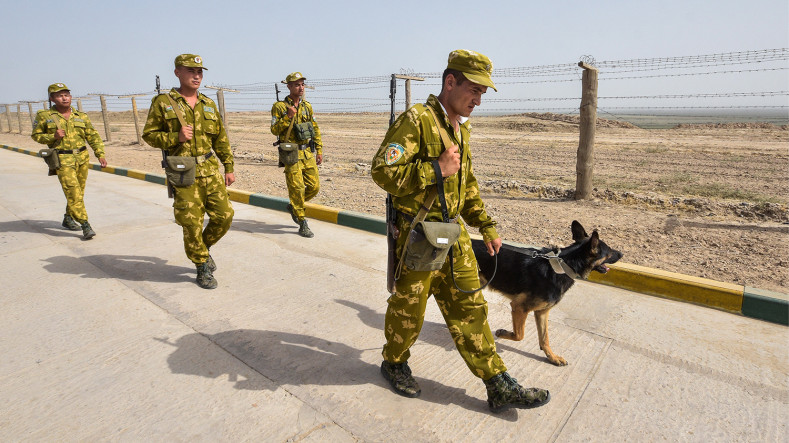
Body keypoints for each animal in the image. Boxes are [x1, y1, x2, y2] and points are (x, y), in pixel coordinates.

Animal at [474, 222, 620, 368]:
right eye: (610, 251)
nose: (621, 253)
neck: (564, 266)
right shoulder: (519, 307)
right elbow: (519, 335)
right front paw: (502, 333)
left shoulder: (542, 312)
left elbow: (545, 338)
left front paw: (552, 357)